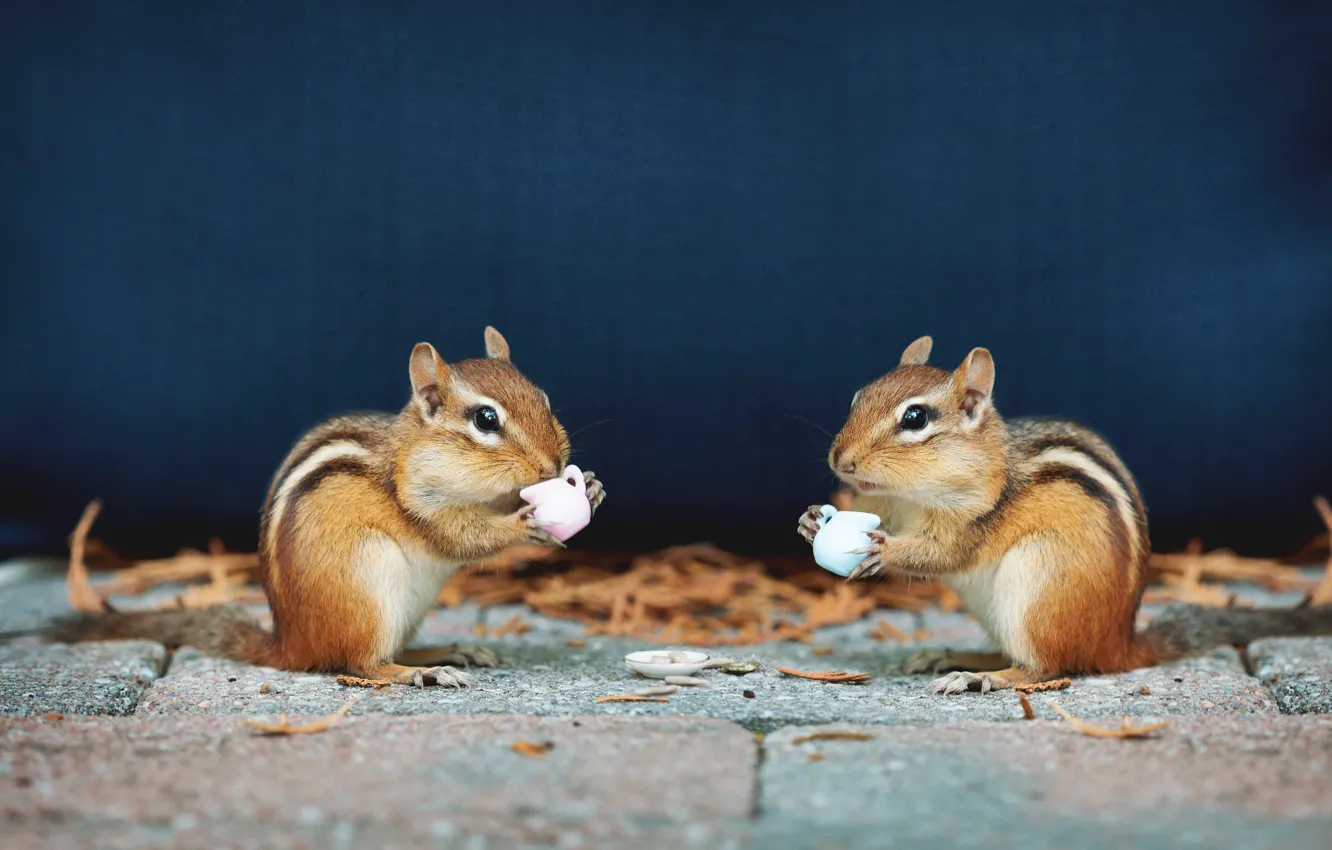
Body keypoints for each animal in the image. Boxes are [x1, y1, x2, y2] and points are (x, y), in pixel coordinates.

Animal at [38, 327, 605, 688]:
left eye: (544, 399)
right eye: (486, 420)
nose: (554, 464)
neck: (413, 452)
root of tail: (291, 645)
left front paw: (593, 488)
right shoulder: (419, 502)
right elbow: (460, 537)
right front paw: (523, 523)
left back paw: (444, 650)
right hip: (369, 586)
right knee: (360, 663)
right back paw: (422, 671)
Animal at [798, 335, 1332, 694]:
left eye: (915, 418)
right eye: (858, 398)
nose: (841, 461)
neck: (908, 496)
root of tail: (1116, 645)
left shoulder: (973, 521)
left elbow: (942, 554)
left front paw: (883, 551)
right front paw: (810, 522)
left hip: (1037, 587)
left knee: (1045, 667)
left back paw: (978, 678)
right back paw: (952, 656)